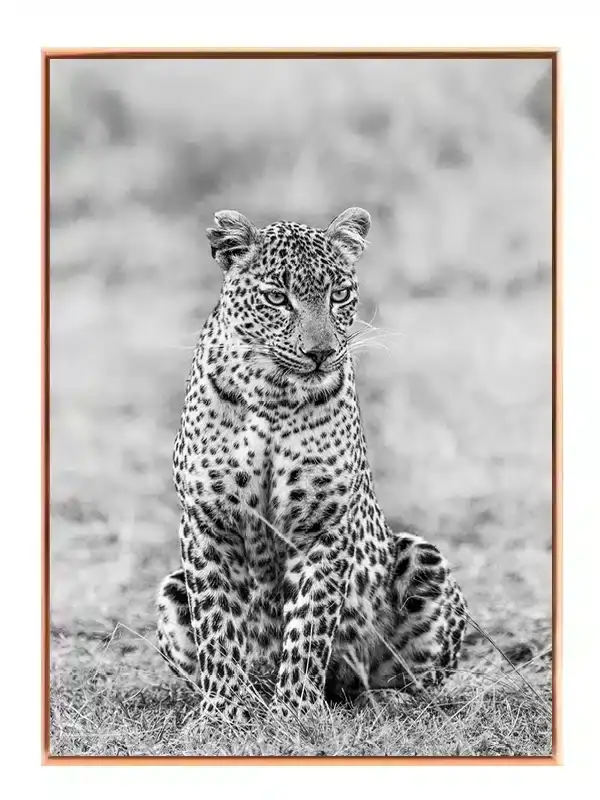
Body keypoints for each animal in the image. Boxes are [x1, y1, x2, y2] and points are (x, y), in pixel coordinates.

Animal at [156, 207, 467, 721]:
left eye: (338, 294)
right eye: (277, 298)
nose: (320, 352)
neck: (273, 392)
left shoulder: (323, 525)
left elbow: (309, 622)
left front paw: (296, 710)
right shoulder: (207, 524)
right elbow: (217, 623)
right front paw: (222, 710)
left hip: (423, 558)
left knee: (402, 681)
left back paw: (385, 701)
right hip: (171, 588)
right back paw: (252, 694)